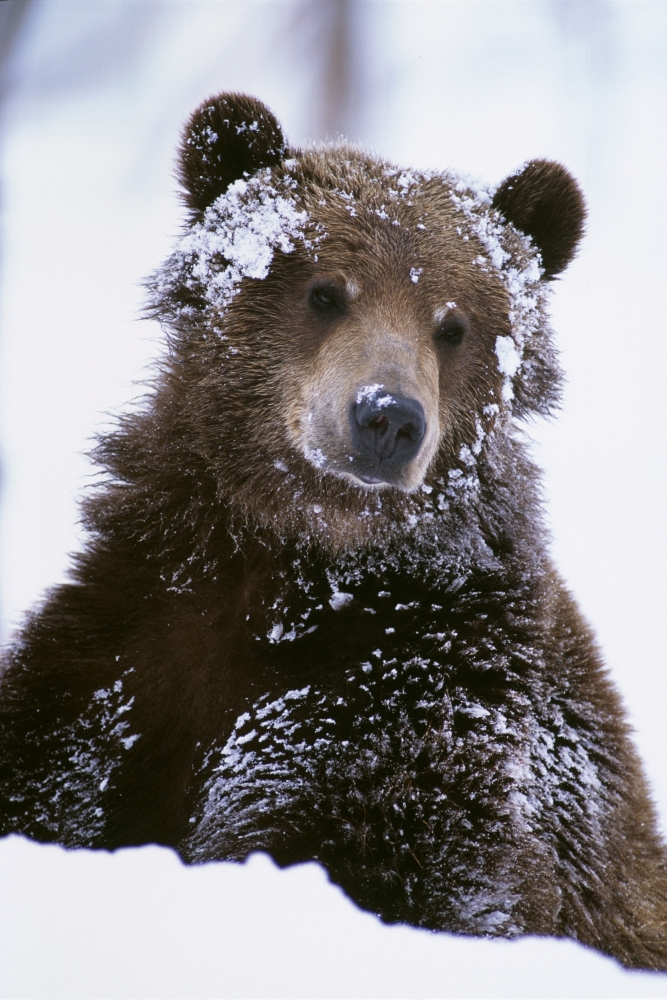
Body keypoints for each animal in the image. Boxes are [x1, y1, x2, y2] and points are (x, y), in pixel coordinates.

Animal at [1, 92, 667, 971]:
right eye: (324, 291)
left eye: (452, 325)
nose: (387, 418)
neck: (296, 565)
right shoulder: (128, 645)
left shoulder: (409, 710)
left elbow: (391, 859)